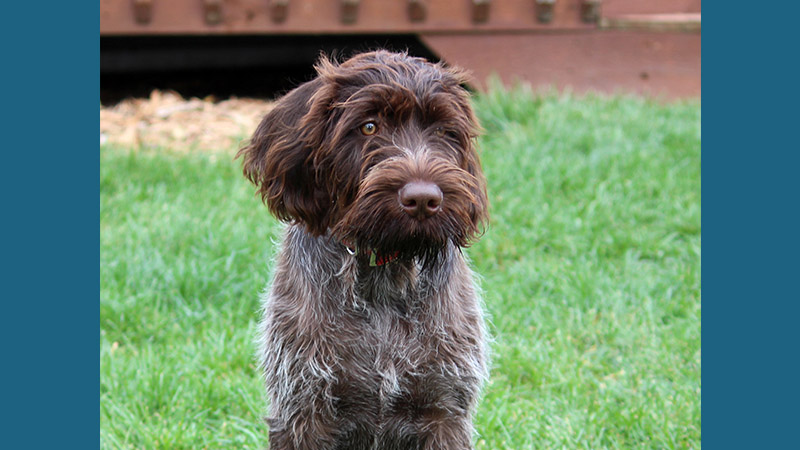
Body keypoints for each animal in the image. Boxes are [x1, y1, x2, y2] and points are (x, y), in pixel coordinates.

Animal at [236, 51, 488, 450]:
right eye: (369, 127)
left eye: (443, 131)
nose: (422, 199)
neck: (385, 272)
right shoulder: (304, 412)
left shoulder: (444, 411)